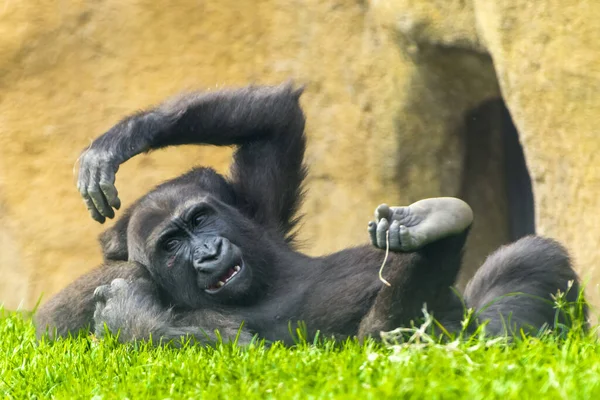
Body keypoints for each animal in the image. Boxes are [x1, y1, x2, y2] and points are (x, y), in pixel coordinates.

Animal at [34, 83, 584, 344]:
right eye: (171, 245)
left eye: (199, 221)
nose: (208, 252)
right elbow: (242, 352)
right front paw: (123, 316)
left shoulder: (256, 210)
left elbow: (273, 122)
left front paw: (120, 141)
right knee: (388, 338)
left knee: (528, 261)